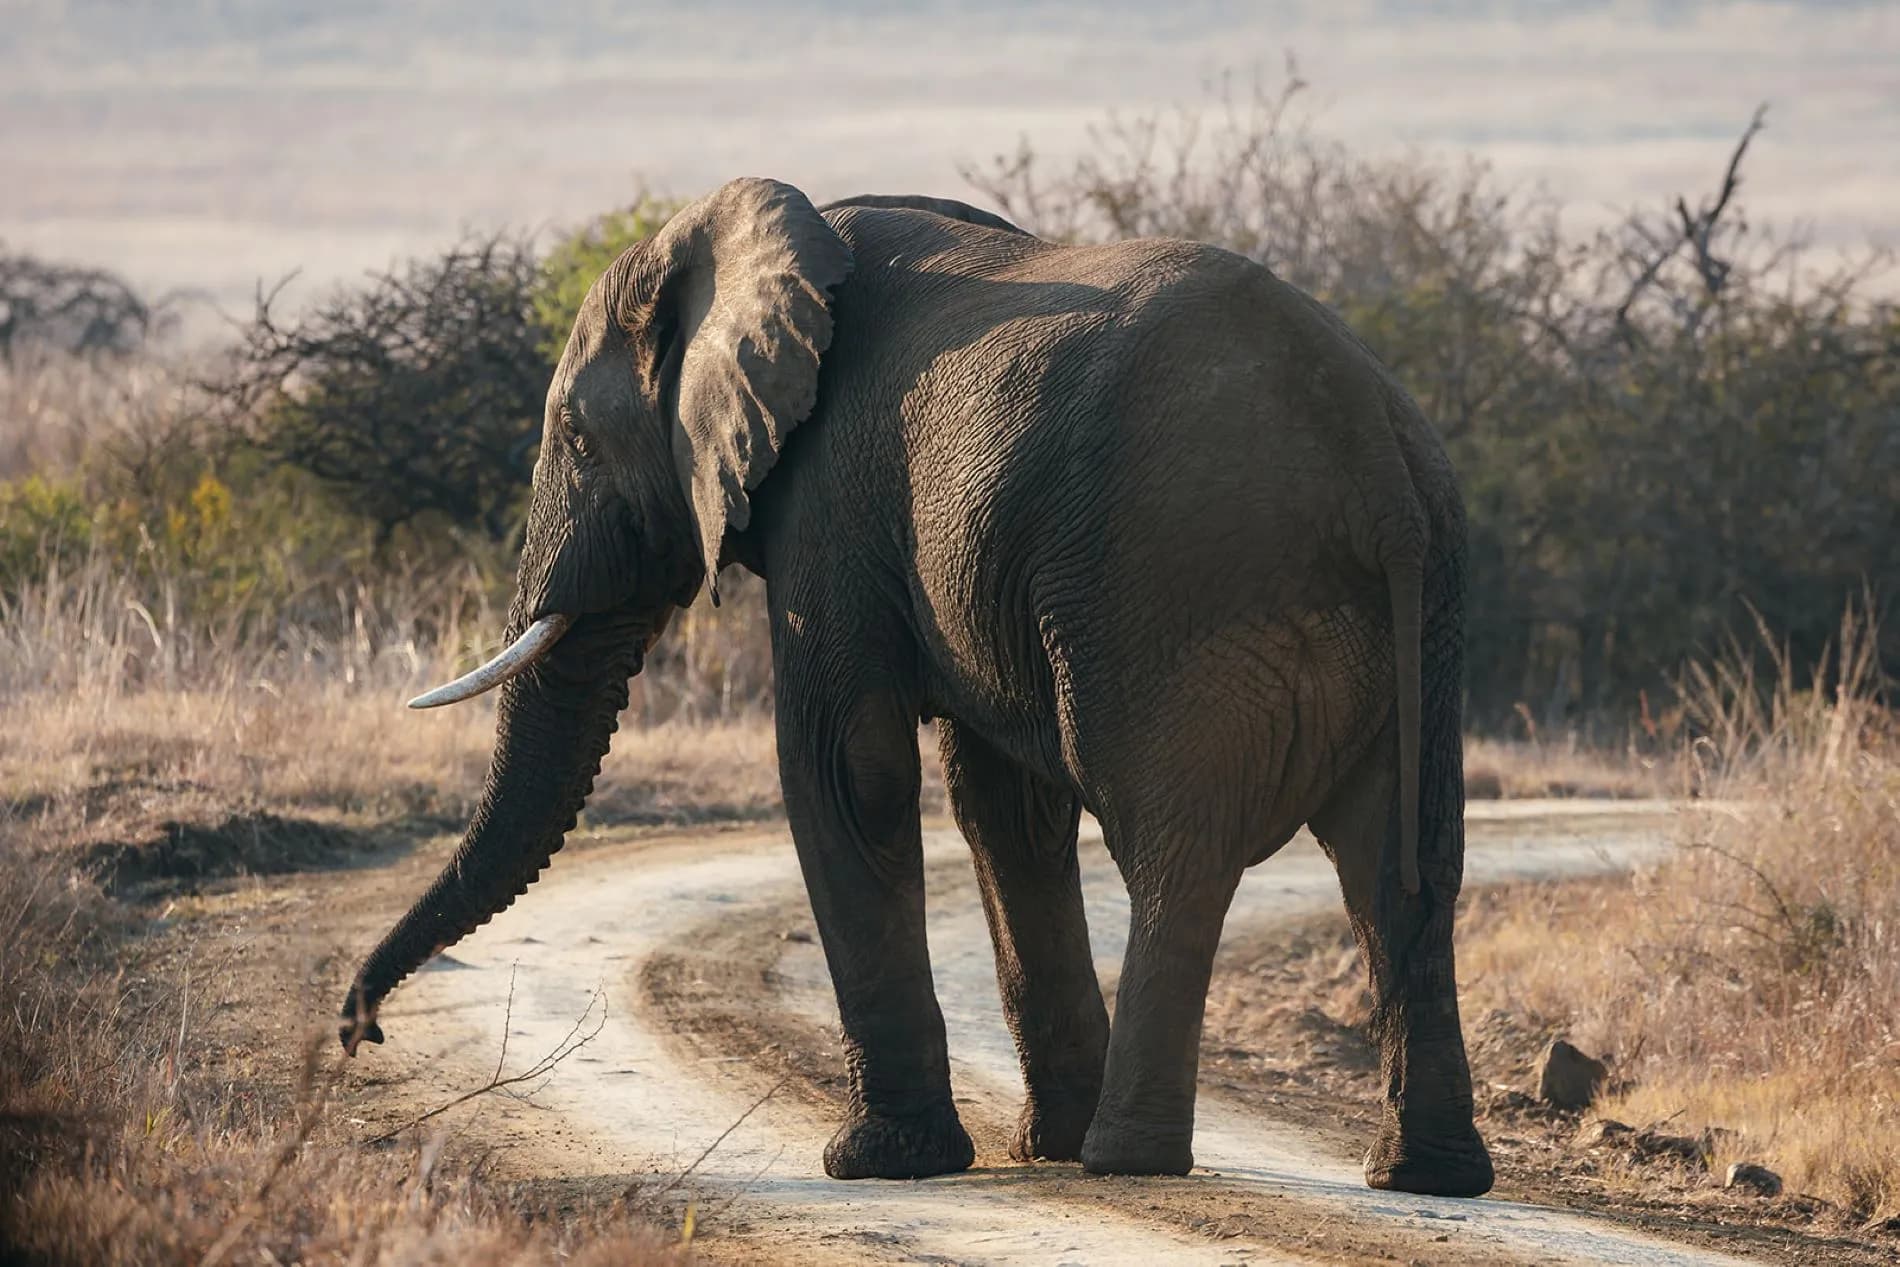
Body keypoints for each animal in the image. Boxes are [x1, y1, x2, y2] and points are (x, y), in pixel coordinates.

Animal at [337, 178, 1494, 1197]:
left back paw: (1130, 1159)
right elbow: (1003, 812)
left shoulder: (829, 501)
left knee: (1176, 849)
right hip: (1427, 608)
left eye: (575, 436)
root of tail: (1379, 471)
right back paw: (1424, 1175)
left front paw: (877, 1163)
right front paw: (1034, 1148)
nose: (359, 1030)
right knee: (1402, 864)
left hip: (1179, 587)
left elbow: (844, 769)